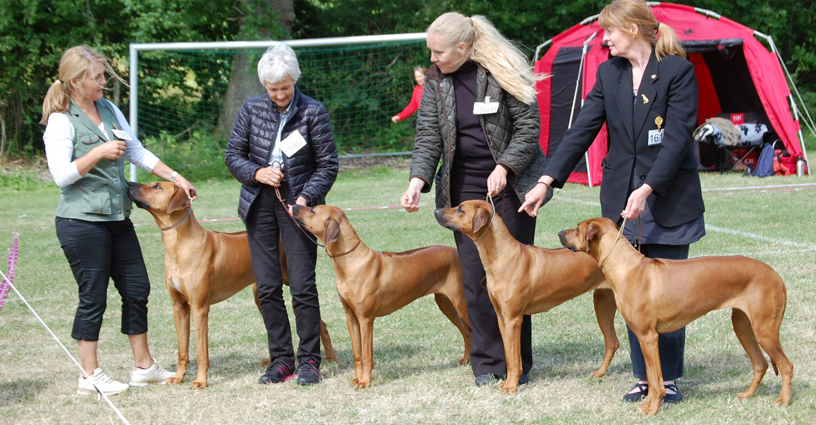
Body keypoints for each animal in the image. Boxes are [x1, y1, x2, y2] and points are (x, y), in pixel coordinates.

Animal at [126, 181, 336, 388]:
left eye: (157, 186)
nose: (129, 183)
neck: (180, 245)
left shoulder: (199, 308)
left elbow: (201, 352)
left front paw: (200, 381)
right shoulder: (179, 307)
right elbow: (182, 350)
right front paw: (179, 377)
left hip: (295, 286)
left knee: (321, 324)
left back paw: (330, 358)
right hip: (260, 294)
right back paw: (272, 362)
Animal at [434, 200, 620, 392]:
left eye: (460, 209)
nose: (436, 211)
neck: (502, 257)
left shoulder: (513, 319)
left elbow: (514, 358)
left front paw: (511, 386)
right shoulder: (502, 318)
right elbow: (510, 357)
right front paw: (509, 382)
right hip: (602, 303)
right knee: (612, 342)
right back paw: (600, 373)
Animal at [556, 217, 792, 416]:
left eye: (577, 228)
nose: (559, 232)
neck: (627, 267)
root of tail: (776, 275)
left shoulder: (648, 337)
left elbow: (656, 380)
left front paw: (653, 409)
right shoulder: (644, 338)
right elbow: (651, 377)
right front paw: (647, 404)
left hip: (765, 330)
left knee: (787, 366)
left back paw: (784, 401)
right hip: (743, 326)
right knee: (761, 364)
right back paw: (747, 394)